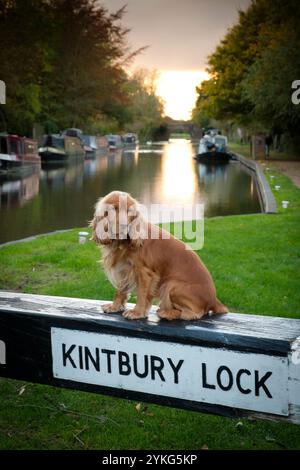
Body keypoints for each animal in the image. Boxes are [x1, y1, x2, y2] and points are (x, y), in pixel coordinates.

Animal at [90, 190, 229, 320]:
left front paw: (137, 313)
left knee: (194, 313)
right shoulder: (123, 269)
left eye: (130, 211)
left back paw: (166, 313)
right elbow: (120, 290)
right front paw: (115, 306)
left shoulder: (145, 273)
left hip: (171, 285)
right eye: (114, 209)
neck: (121, 243)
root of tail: (214, 300)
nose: (124, 226)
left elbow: (142, 294)